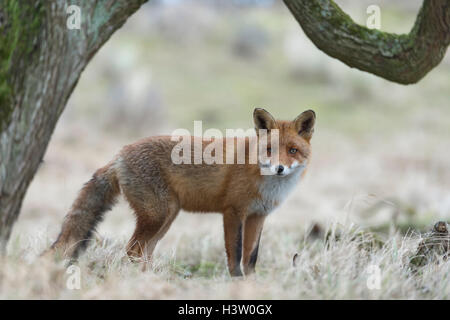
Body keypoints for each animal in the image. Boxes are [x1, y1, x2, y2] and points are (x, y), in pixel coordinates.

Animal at [49, 109, 314, 276]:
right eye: (269, 150)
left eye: (292, 150)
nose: (279, 168)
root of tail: (120, 153)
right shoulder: (233, 212)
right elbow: (235, 253)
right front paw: (236, 281)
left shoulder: (258, 216)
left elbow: (251, 256)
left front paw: (252, 282)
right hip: (157, 215)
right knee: (132, 250)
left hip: (167, 217)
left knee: (144, 252)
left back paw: (151, 278)